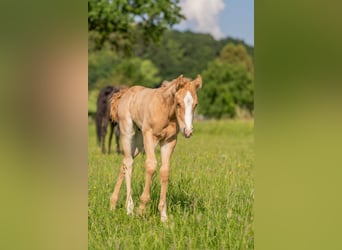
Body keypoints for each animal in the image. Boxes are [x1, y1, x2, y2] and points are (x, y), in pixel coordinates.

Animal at [108, 74, 202, 223]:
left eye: (195, 104)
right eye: (178, 103)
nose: (188, 131)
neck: (166, 112)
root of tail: (126, 92)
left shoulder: (169, 141)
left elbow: (165, 171)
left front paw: (163, 216)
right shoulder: (149, 135)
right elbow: (151, 166)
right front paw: (141, 210)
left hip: (139, 143)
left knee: (124, 163)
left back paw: (113, 204)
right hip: (128, 133)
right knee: (129, 163)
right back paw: (130, 208)